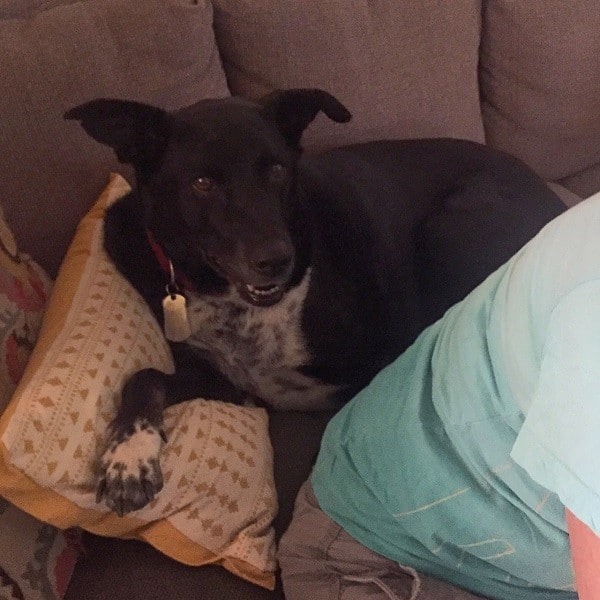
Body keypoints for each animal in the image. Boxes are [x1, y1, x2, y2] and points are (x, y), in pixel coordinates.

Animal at [63, 88, 564, 516]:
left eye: (277, 170)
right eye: (202, 182)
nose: (277, 260)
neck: (235, 304)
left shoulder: (378, 362)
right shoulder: (226, 383)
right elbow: (143, 377)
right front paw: (128, 458)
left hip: (449, 227)